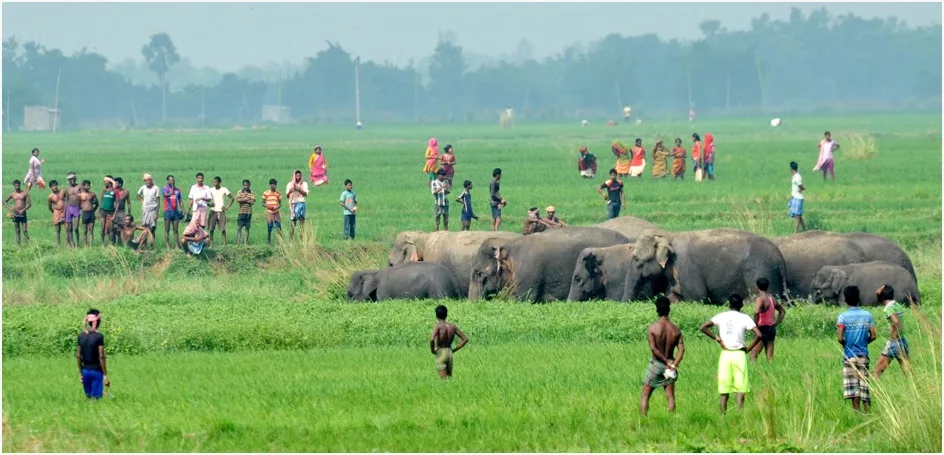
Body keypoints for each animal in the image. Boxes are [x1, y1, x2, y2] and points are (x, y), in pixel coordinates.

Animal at [621, 228, 788, 304]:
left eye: (637, 259)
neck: (668, 235)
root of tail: (780, 258)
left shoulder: (685, 266)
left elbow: (698, 296)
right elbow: (673, 297)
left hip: (760, 272)